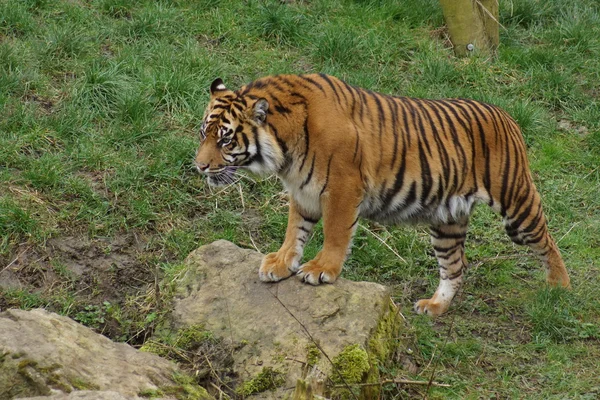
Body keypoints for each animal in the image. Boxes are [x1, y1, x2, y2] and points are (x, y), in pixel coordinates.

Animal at [195, 72, 568, 316]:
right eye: (203, 133)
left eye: (225, 140)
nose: (199, 166)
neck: (285, 146)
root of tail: (506, 115)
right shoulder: (303, 190)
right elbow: (295, 230)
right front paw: (281, 263)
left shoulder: (343, 187)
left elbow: (334, 232)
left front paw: (321, 269)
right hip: (447, 220)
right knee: (454, 266)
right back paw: (435, 306)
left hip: (516, 205)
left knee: (547, 240)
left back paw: (559, 288)